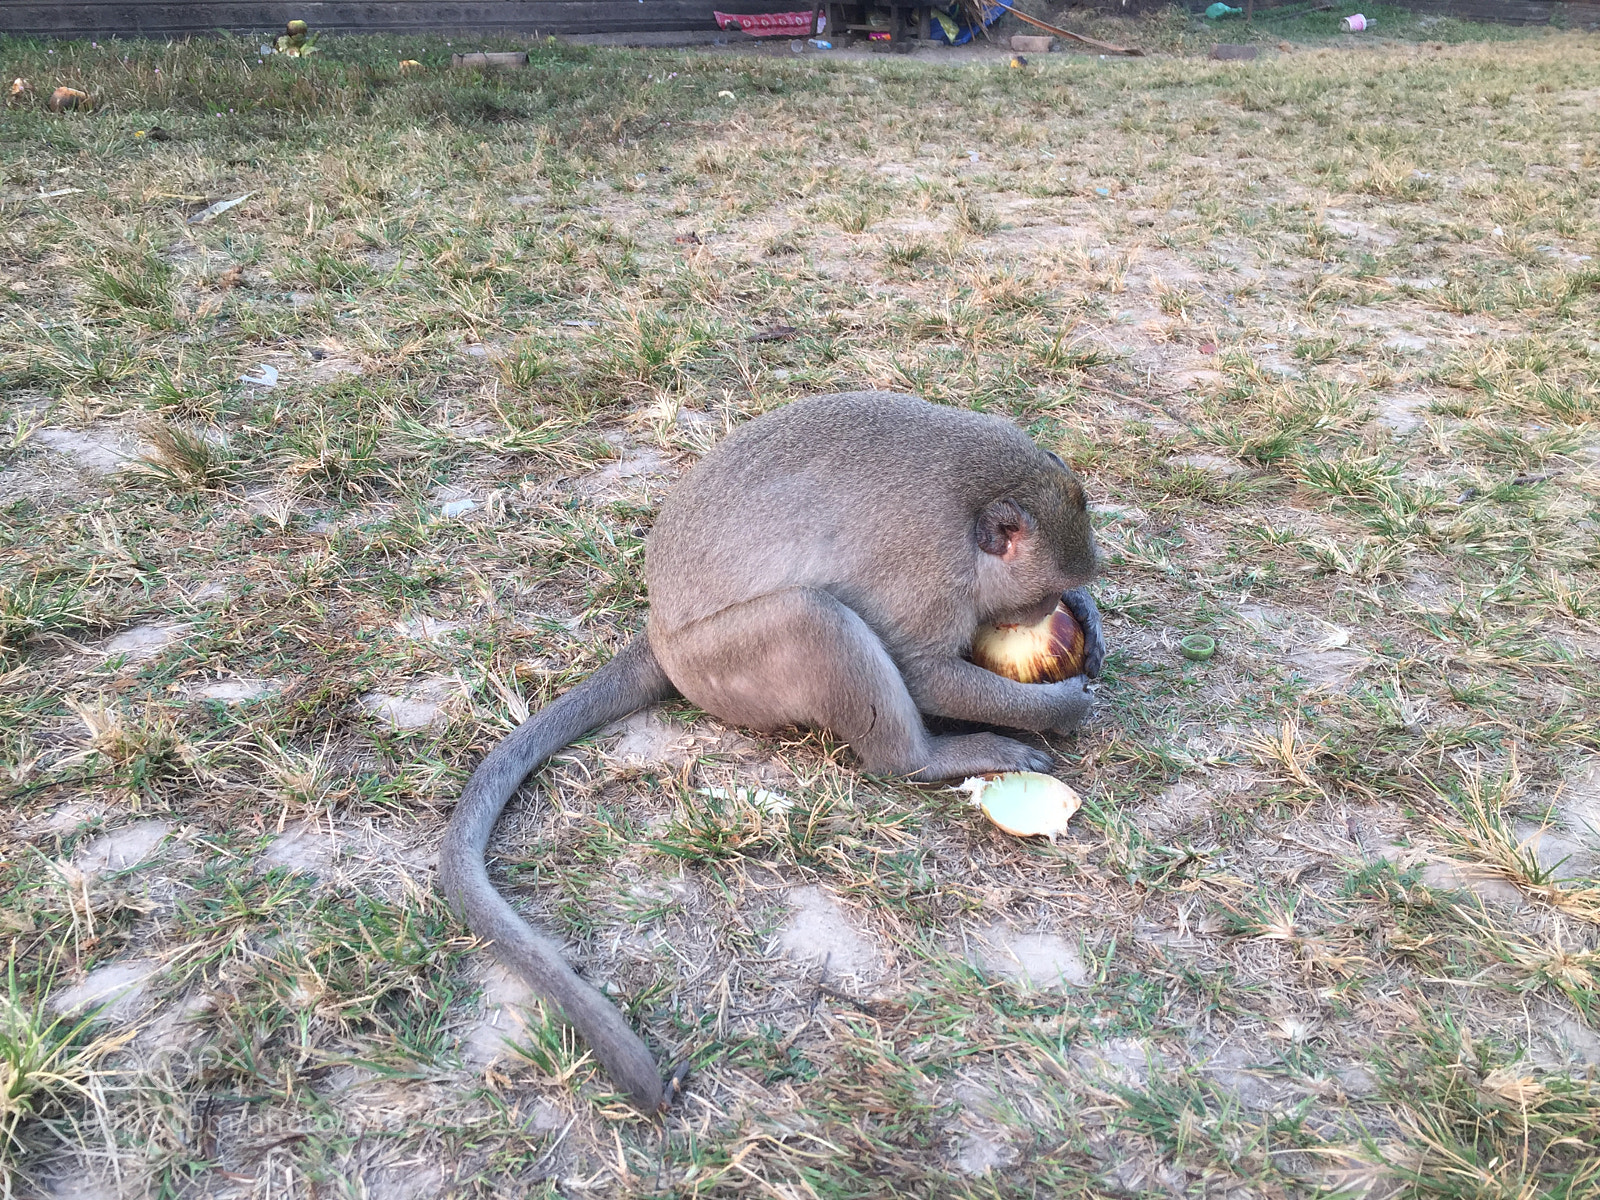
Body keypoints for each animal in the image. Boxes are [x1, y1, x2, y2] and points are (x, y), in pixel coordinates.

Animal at [438, 391, 1106, 1113]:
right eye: (1035, 595)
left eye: (1056, 592)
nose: (1046, 612)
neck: (977, 500)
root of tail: (660, 637)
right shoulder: (931, 579)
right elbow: (922, 669)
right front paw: (1062, 708)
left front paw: (1091, 624)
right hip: (729, 663)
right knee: (813, 619)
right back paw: (929, 756)